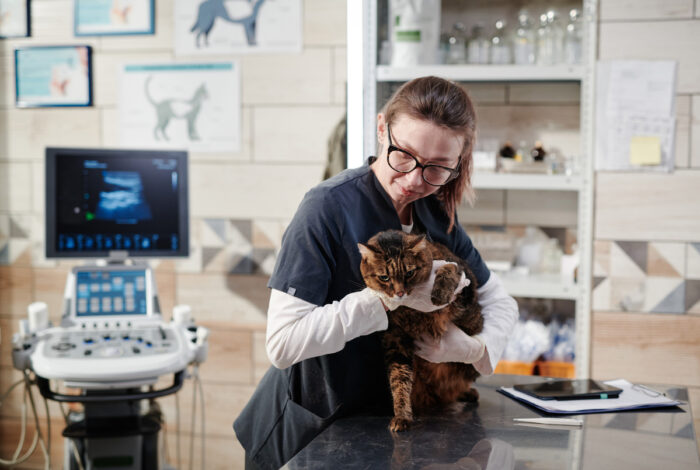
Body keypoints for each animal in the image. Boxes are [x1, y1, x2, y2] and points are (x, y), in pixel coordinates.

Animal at [358, 229, 484, 432]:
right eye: (385, 277)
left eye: (409, 273)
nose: (400, 293)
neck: (410, 310)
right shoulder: (396, 341)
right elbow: (399, 381)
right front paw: (402, 415)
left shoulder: (466, 283)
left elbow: (450, 268)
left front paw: (440, 294)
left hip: (471, 364)